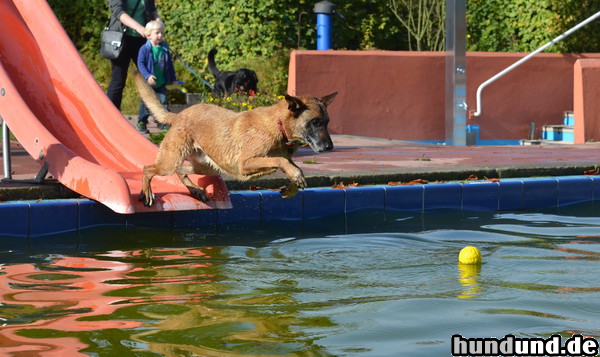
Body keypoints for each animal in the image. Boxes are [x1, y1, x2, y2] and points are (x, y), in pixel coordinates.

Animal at [132, 70, 338, 206]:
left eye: (327, 122)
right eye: (315, 122)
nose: (329, 147)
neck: (278, 125)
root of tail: (179, 115)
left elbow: (292, 167)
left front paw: (291, 188)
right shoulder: (245, 163)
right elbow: (282, 161)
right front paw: (295, 176)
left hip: (208, 167)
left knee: (180, 171)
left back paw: (196, 190)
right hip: (170, 162)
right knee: (148, 168)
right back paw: (147, 192)